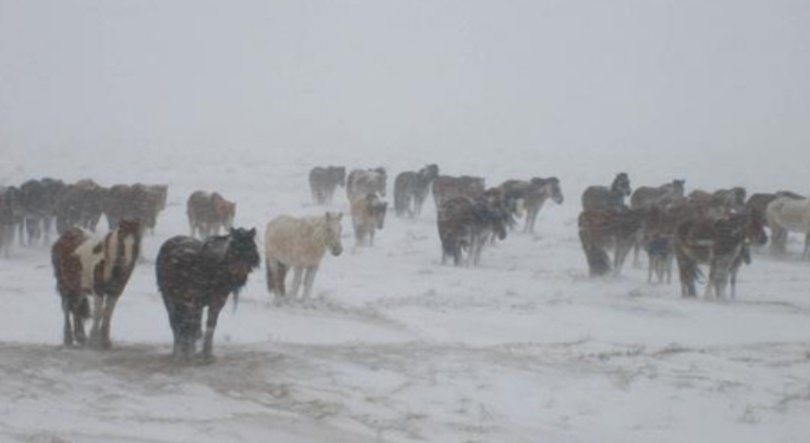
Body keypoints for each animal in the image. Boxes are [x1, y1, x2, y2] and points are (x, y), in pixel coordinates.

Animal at [51, 220, 141, 348]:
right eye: (121, 241)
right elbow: (98, 314)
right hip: (65, 285)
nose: (126, 262)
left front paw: (105, 341)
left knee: (76, 307)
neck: (108, 262)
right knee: (67, 308)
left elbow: (108, 314)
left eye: (137, 239)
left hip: (79, 288)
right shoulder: (98, 291)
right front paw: (93, 340)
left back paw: (81, 337)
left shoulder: (115, 292)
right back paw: (68, 338)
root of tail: (63, 237)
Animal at [155, 227, 258, 362]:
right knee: (175, 323)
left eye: (249, 248)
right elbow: (193, 326)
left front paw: (207, 354)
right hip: (169, 297)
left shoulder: (216, 303)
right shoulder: (195, 302)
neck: (213, 268)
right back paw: (178, 352)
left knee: (182, 323)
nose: (239, 272)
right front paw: (191, 354)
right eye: (233, 248)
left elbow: (210, 327)